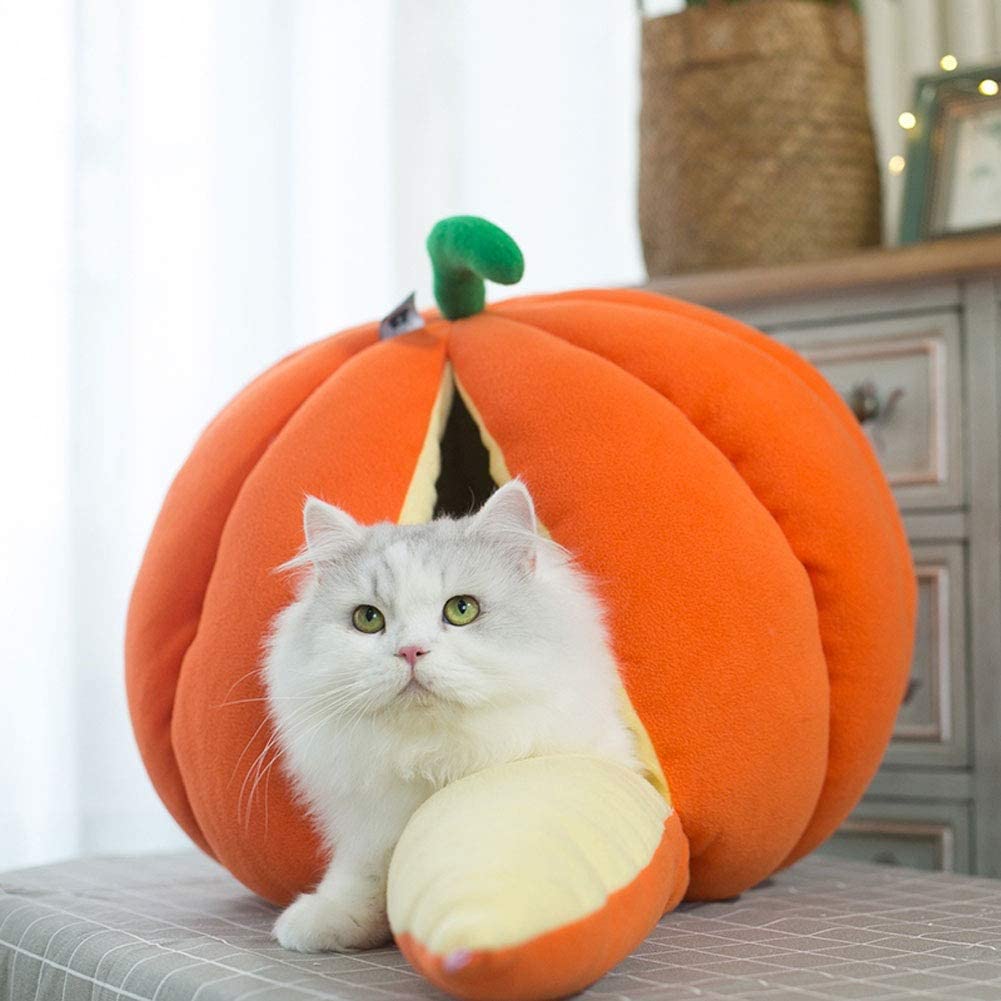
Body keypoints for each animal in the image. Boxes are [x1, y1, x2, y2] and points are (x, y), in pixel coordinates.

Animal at [266, 480, 636, 948]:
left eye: (462, 610)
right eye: (368, 619)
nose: (410, 651)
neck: (434, 754)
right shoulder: (368, 831)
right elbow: (359, 878)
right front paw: (324, 921)